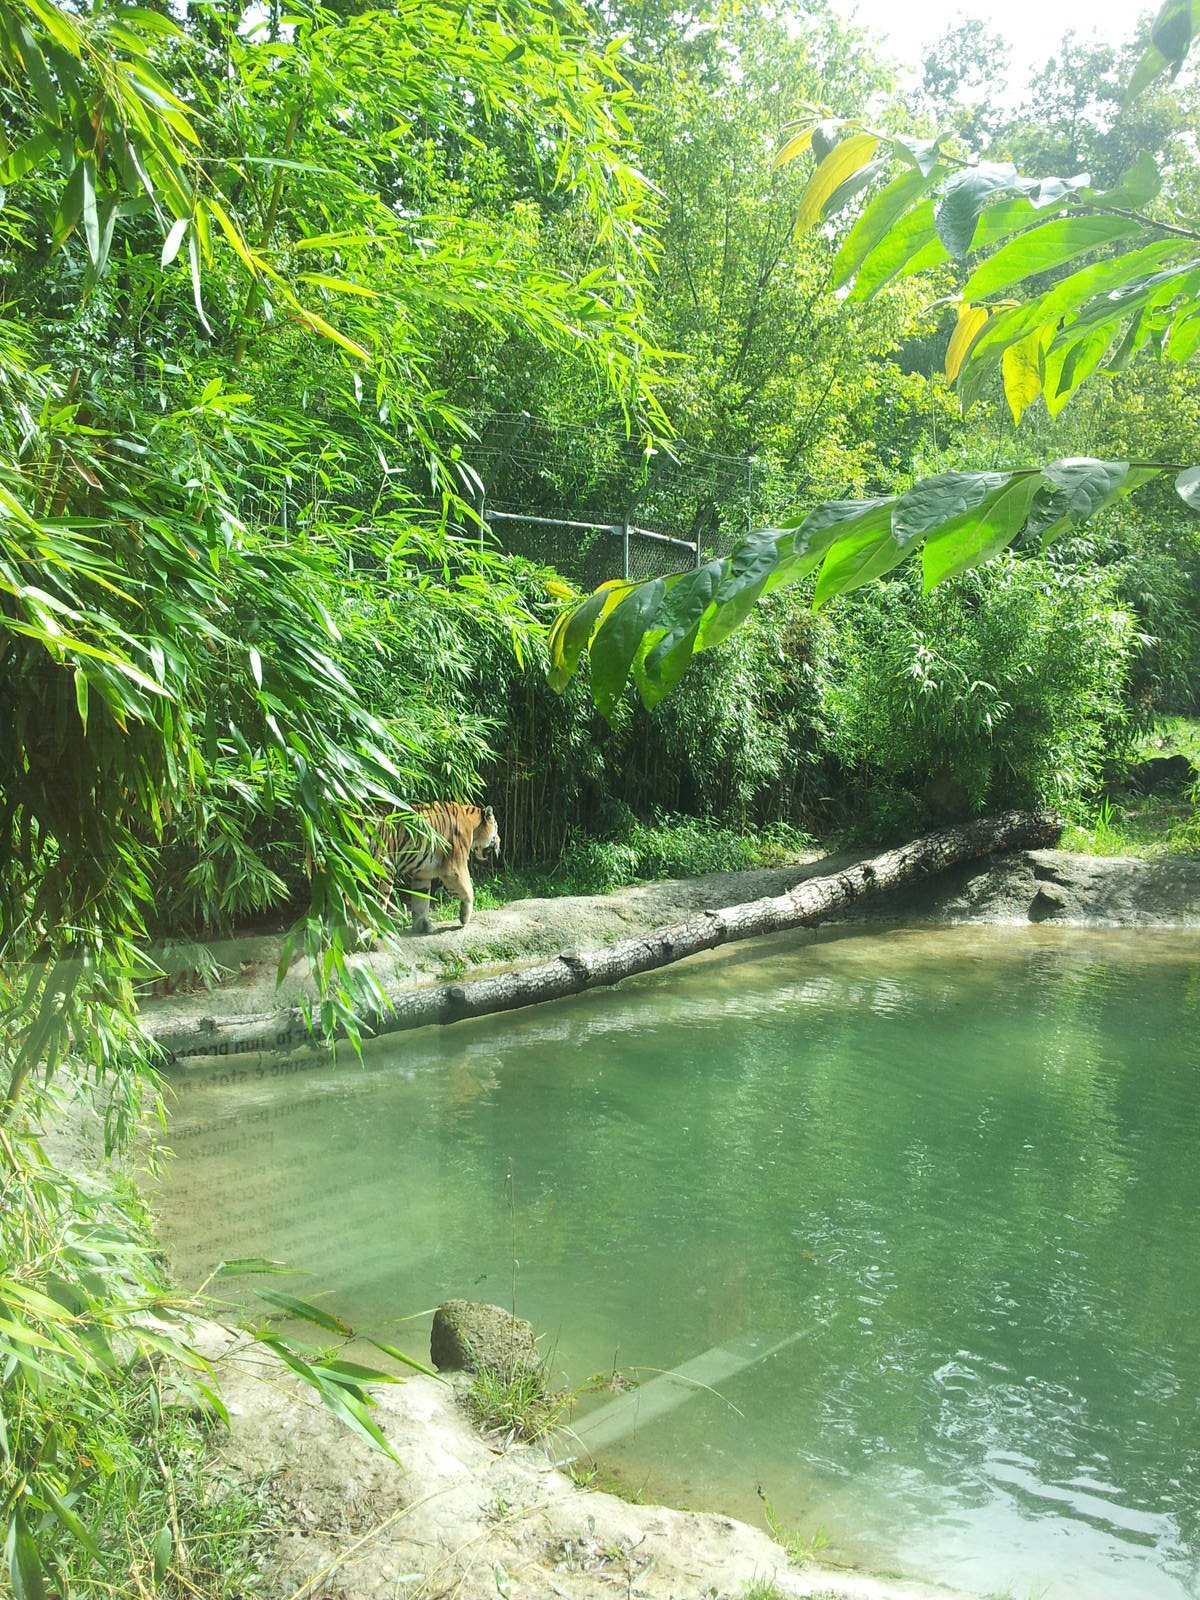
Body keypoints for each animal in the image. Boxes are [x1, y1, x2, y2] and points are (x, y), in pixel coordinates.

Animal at [370, 802, 500, 934]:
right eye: (496, 828)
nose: (499, 841)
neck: (473, 825)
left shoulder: (422, 873)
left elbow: (421, 900)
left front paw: (423, 926)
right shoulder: (454, 869)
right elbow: (469, 891)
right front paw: (464, 917)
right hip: (385, 867)